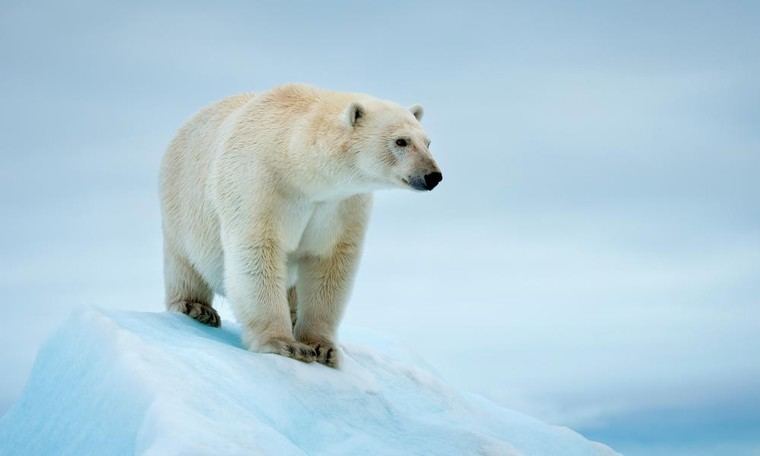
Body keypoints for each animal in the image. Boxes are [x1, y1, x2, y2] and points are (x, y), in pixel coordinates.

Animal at [162, 84, 446, 366]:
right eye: (401, 141)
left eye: (428, 142)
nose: (433, 175)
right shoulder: (258, 182)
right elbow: (258, 251)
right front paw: (284, 344)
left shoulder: (341, 204)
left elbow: (330, 263)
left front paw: (322, 348)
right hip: (182, 203)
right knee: (184, 263)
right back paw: (196, 307)